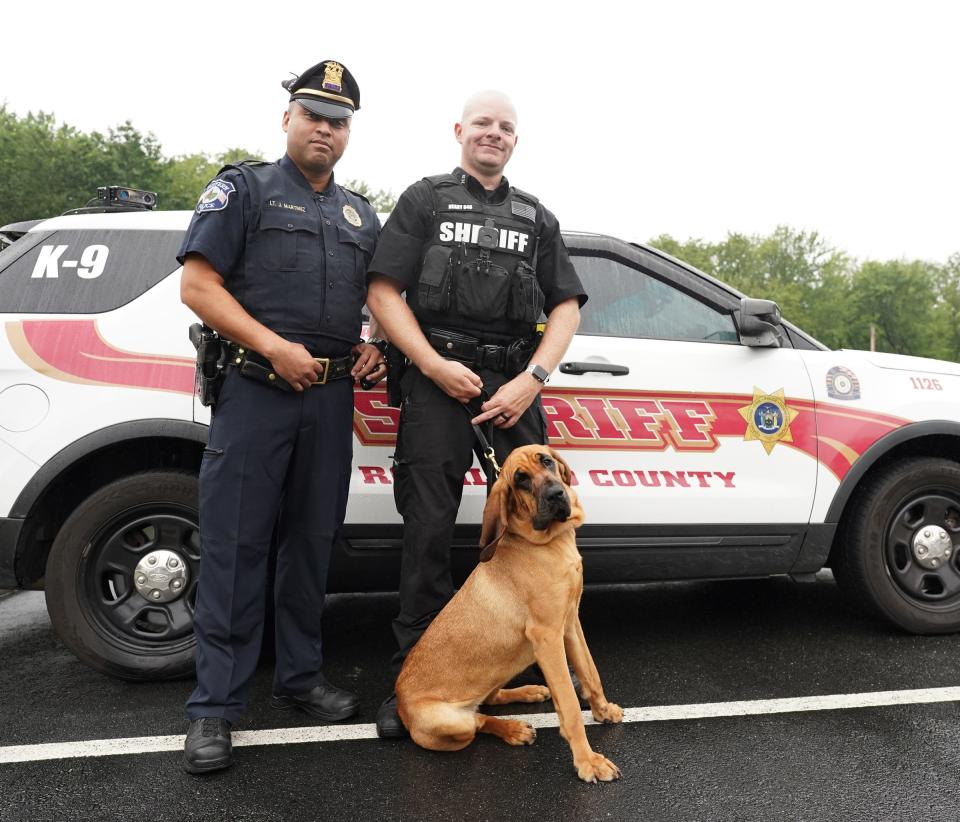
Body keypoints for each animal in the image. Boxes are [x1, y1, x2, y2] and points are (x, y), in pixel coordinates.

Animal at [396, 444, 624, 784]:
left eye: (547, 461)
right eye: (521, 480)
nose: (557, 494)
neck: (546, 542)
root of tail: (399, 704)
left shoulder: (570, 624)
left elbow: (589, 671)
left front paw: (603, 710)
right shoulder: (547, 637)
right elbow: (570, 705)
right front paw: (588, 761)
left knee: (488, 700)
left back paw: (529, 693)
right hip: (449, 722)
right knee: (478, 721)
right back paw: (514, 729)